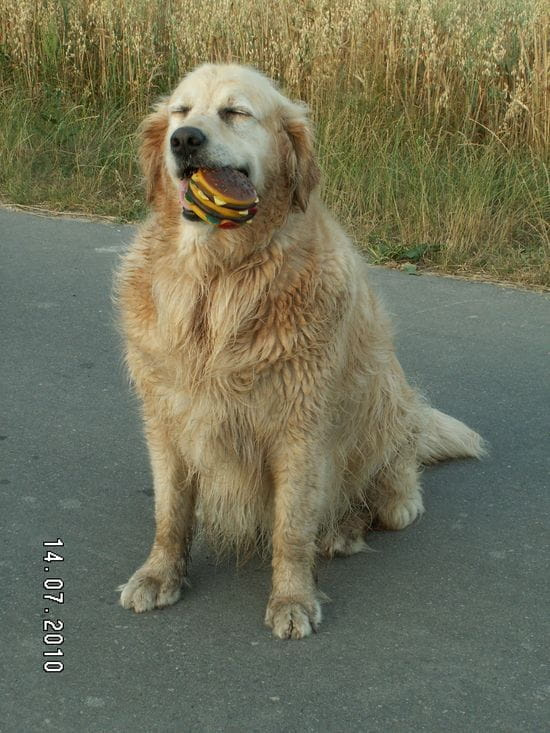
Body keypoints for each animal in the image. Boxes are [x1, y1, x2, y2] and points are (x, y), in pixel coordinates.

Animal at [115, 64, 484, 636]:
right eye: (180, 111)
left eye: (235, 112)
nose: (185, 140)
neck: (220, 278)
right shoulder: (166, 418)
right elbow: (170, 513)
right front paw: (160, 574)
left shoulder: (299, 426)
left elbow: (291, 527)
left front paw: (292, 598)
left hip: (386, 420)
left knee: (380, 503)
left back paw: (342, 530)